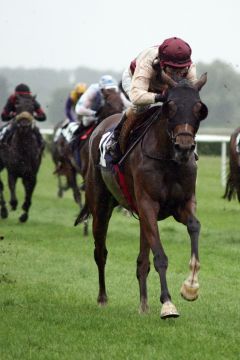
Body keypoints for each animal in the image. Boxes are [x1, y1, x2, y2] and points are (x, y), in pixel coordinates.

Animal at [75, 72, 208, 318]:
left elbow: (194, 226)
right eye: (170, 106)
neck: (168, 159)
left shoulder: (182, 204)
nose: (184, 147)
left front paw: (191, 286)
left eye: (199, 108)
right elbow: (160, 257)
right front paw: (167, 303)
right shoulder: (148, 205)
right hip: (101, 206)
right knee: (100, 252)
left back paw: (144, 305)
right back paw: (102, 298)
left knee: (141, 261)